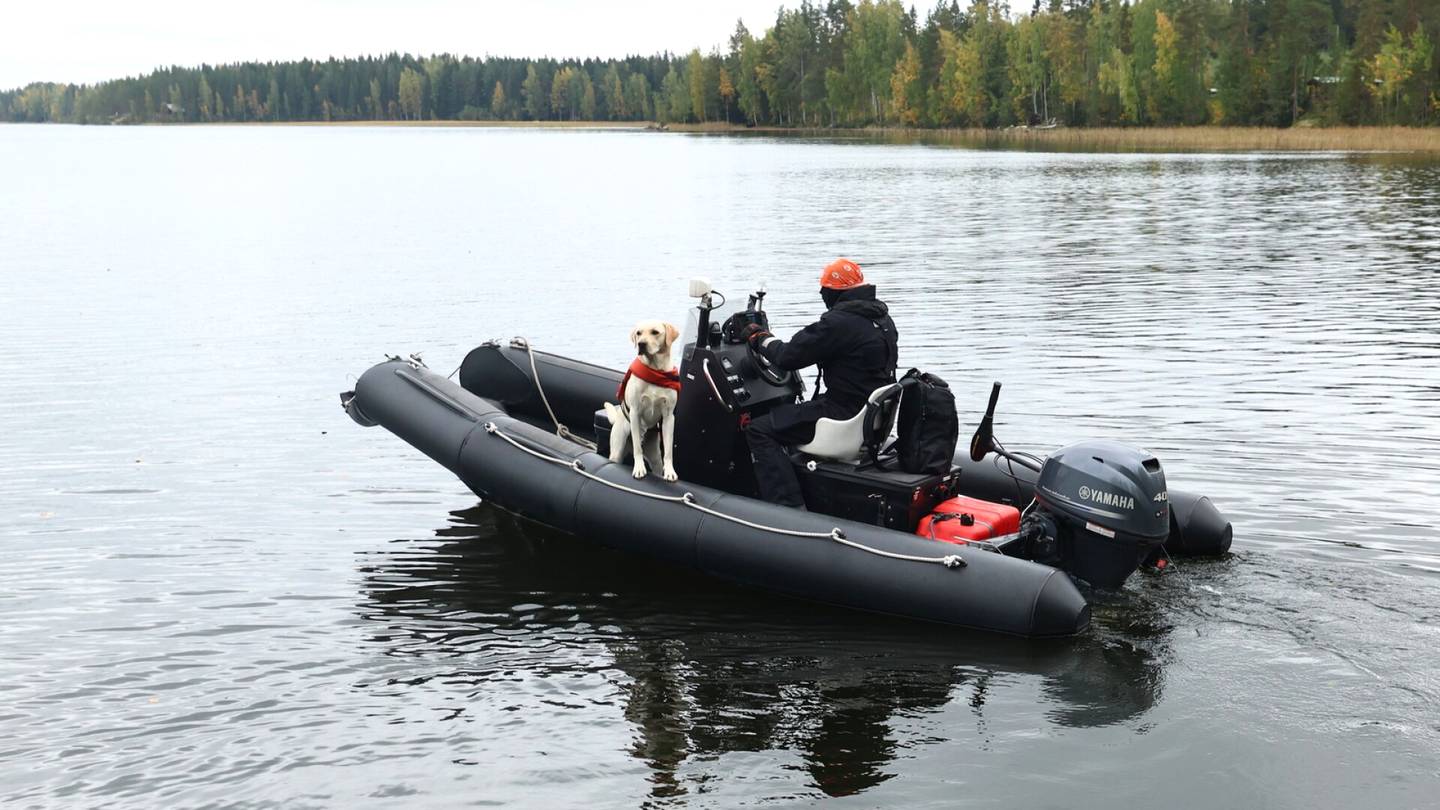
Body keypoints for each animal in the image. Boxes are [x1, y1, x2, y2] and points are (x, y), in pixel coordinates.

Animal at [601, 317, 679, 478]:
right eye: (639, 333)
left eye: (655, 332)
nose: (642, 344)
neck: (656, 370)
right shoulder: (635, 412)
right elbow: (638, 448)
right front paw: (639, 468)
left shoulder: (669, 417)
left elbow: (668, 451)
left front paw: (670, 471)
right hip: (618, 448)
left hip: (655, 457)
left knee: (657, 464)